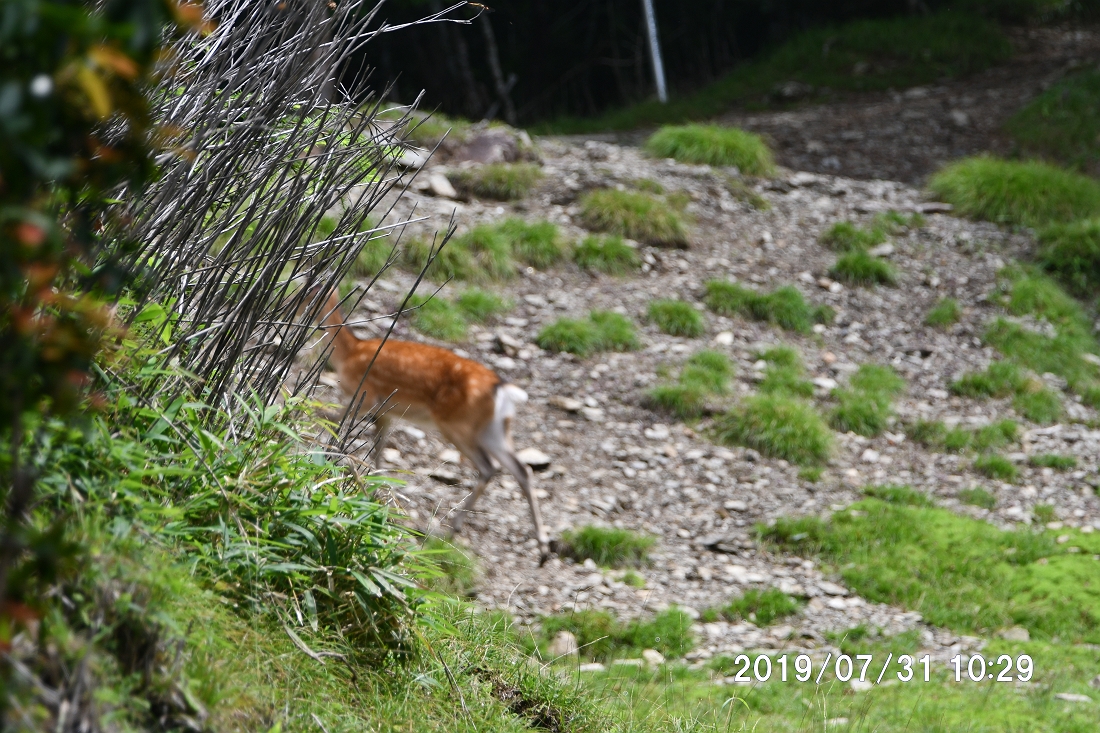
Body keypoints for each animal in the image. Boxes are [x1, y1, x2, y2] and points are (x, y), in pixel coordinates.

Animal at [312, 290, 551, 563]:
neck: (348, 354)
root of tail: (503, 391)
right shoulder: (385, 413)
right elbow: (378, 451)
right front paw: (377, 492)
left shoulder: (365, 397)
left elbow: (331, 420)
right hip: (494, 431)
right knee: (522, 470)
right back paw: (542, 547)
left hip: (456, 425)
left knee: (489, 468)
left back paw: (450, 530)